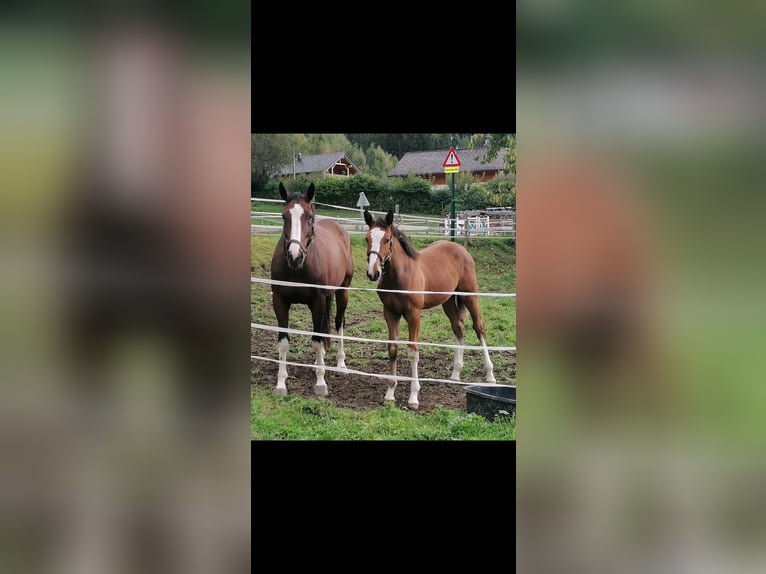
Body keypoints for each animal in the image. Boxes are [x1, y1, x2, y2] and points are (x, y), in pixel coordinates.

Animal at [270, 182, 354, 398]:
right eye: (284, 216)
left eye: (309, 216)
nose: (295, 256)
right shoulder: (280, 301)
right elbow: (284, 342)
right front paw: (280, 384)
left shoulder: (318, 301)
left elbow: (317, 340)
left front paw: (321, 383)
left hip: (342, 291)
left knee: (339, 323)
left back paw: (341, 364)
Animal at [366, 210, 498, 410]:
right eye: (367, 238)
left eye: (387, 239)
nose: (373, 273)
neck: (399, 275)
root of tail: (460, 248)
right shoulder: (390, 312)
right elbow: (393, 349)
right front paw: (389, 394)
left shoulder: (413, 315)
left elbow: (413, 352)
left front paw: (413, 397)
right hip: (448, 301)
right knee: (458, 327)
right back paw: (455, 374)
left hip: (469, 296)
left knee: (479, 327)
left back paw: (490, 375)